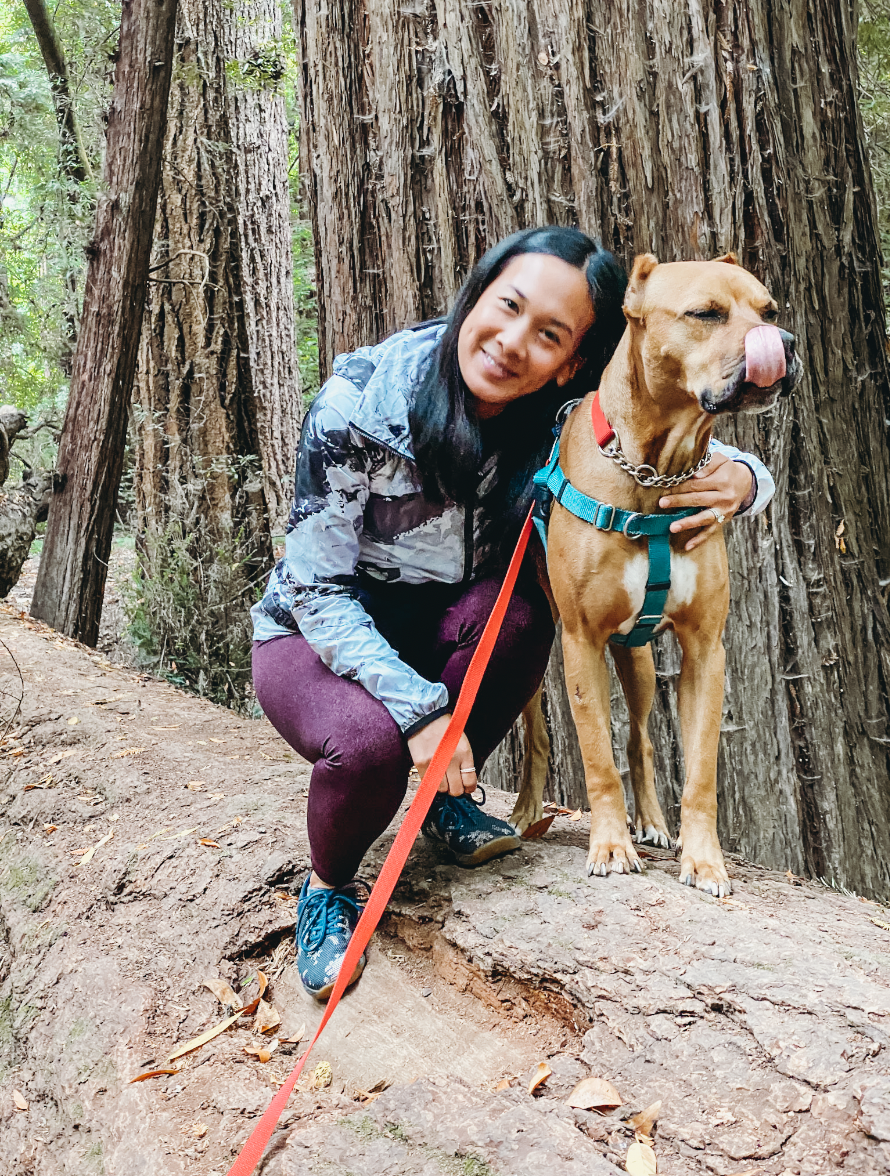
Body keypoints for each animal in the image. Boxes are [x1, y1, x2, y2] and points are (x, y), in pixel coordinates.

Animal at [503, 252, 804, 893]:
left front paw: (704, 859)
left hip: (637, 659)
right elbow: (596, 755)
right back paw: (525, 812)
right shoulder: (582, 642)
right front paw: (610, 846)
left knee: (640, 736)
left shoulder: (705, 650)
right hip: (536, 654)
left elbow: (700, 771)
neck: (654, 468)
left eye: (769, 311)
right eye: (706, 313)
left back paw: (653, 824)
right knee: (539, 733)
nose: (785, 343)